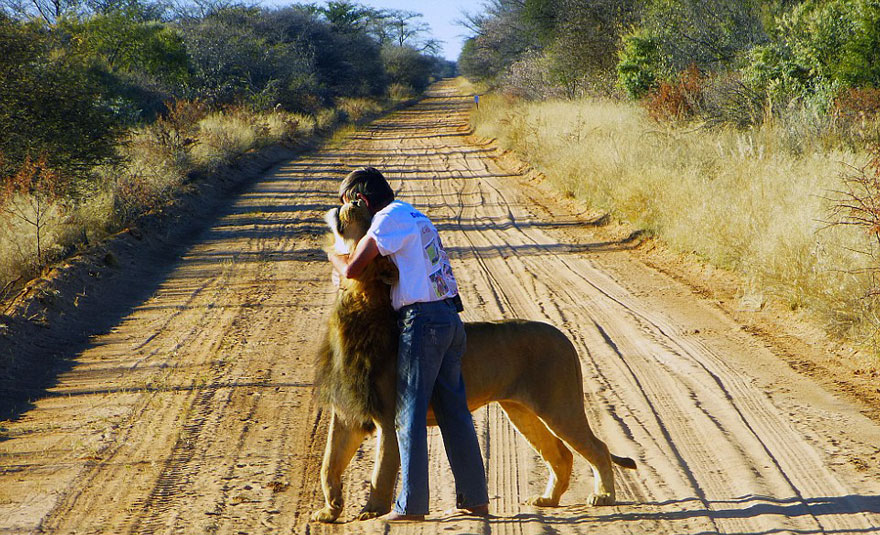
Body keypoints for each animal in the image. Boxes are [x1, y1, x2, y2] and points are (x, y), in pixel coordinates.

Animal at [312, 201, 637, 523]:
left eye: (369, 223)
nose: (353, 201)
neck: (357, 302)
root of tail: (565, 338)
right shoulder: (345, 414)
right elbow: (328, 463)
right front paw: (329, 510)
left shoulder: (389, 416)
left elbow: (381, 471)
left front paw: (372, 511)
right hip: (521, 411)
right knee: (561, 454)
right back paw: (548, 499)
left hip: (559, 406)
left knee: (598, 448)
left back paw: (603, 496)